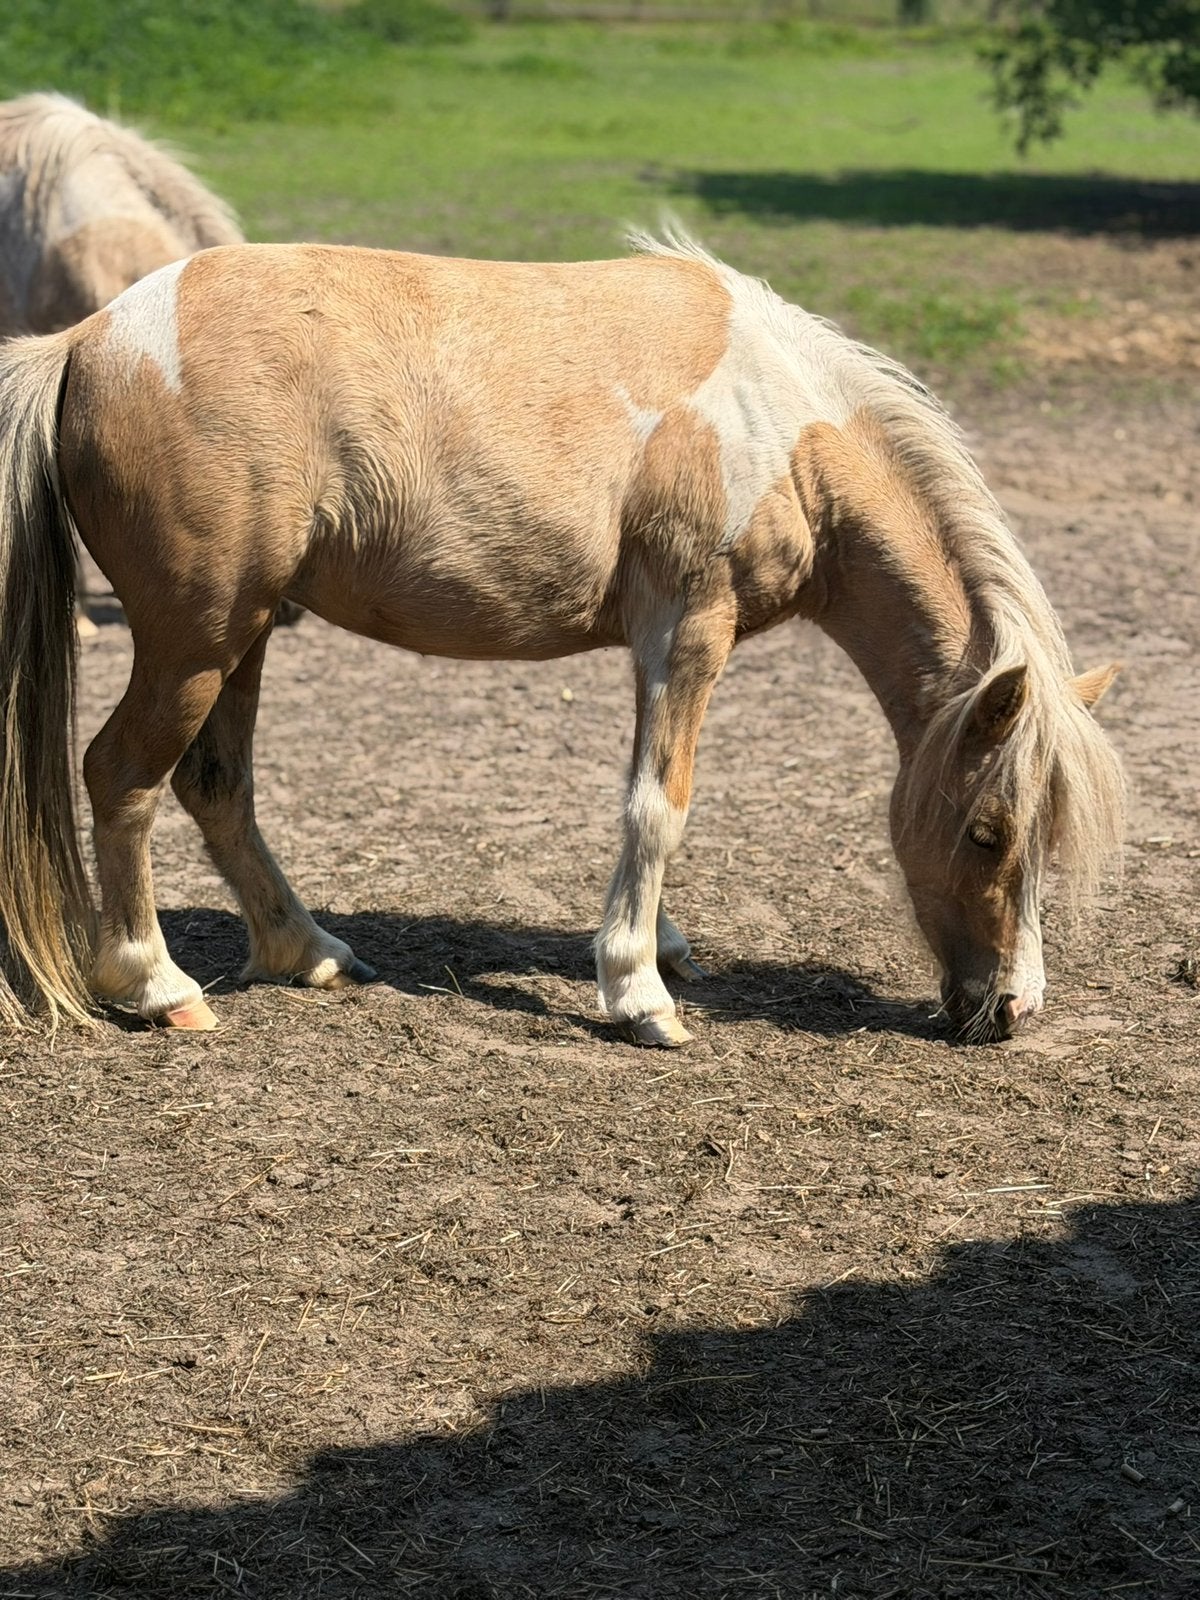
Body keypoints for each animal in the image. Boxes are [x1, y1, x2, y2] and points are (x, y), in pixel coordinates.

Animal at [0, 235, 1124, 1046]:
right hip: (196, 638)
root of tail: (92, 340)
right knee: (123, 777)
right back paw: (158, 985)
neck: (781, 426)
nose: (1012, 1010)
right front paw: (638, 993)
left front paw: (657, 948)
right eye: (988, 832)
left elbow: (649, 798)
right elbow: (659, 805)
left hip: (244, 634)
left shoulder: (654, 645)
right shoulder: (691, 627)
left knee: (215, 785)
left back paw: (307, 948)